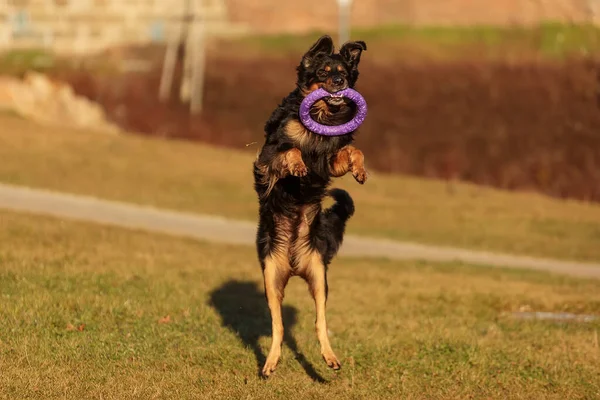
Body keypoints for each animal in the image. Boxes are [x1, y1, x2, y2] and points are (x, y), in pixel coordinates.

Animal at [252, 35, 368, 378]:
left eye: (343, 71)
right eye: (323, 71)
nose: (339, 83)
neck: (320, 118)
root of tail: (293, 263)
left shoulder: (331, 160)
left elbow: (353, 151)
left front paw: (360, 171)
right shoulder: (267, 163)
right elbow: (289, 150)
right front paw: (298, 165)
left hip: (318, 277)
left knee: (320, 322)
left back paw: (330, 359)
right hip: (271, 279)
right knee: (277, 327)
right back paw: (270, 363)